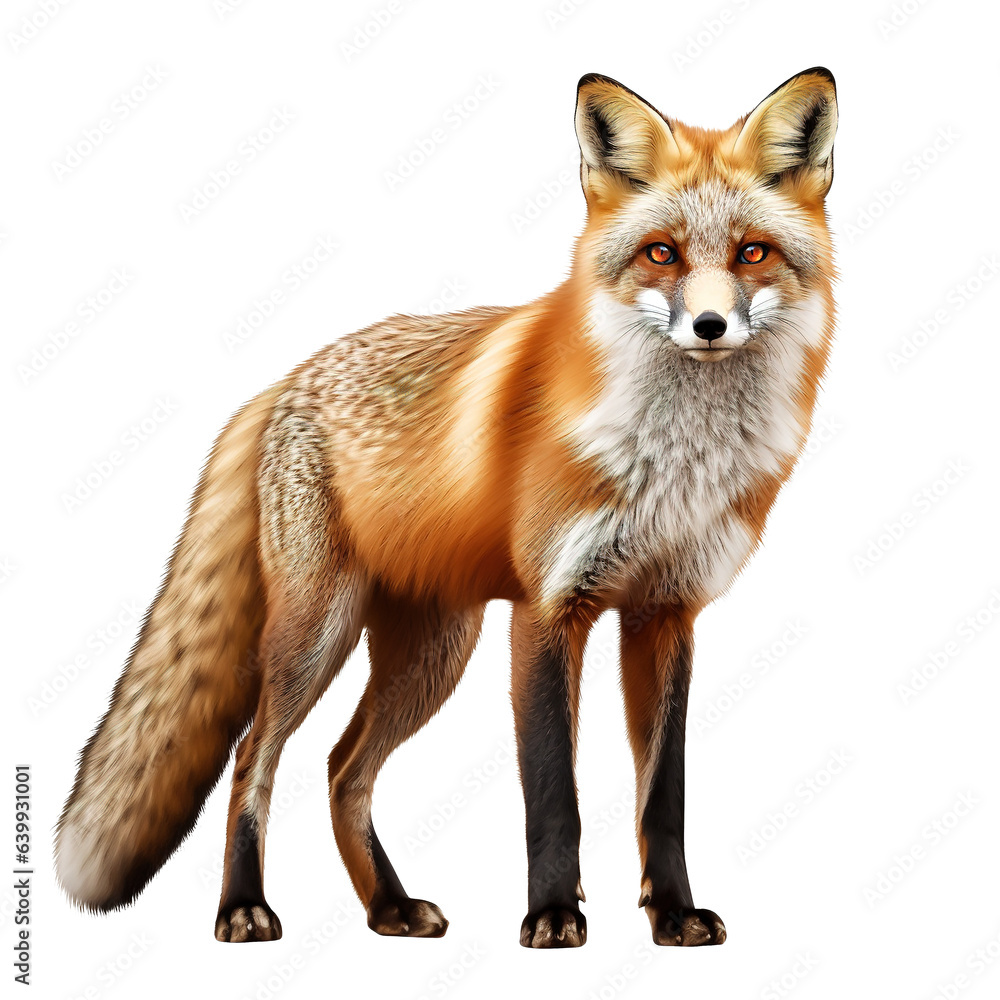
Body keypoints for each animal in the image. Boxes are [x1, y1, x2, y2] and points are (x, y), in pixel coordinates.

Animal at [56, 67, 838, 948]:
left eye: (752, 252)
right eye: (661, 253)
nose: (709, 325)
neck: (675, 465)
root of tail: (285, 382)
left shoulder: (666, 614)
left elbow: (661, 797)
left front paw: (672, 914)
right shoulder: (547, 610)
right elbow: (552, 795)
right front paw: (552, 915)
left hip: (432, 653)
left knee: (342, 767)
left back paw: (389, 908)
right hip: (315, 635)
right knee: (254, 756)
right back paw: (243, 908)